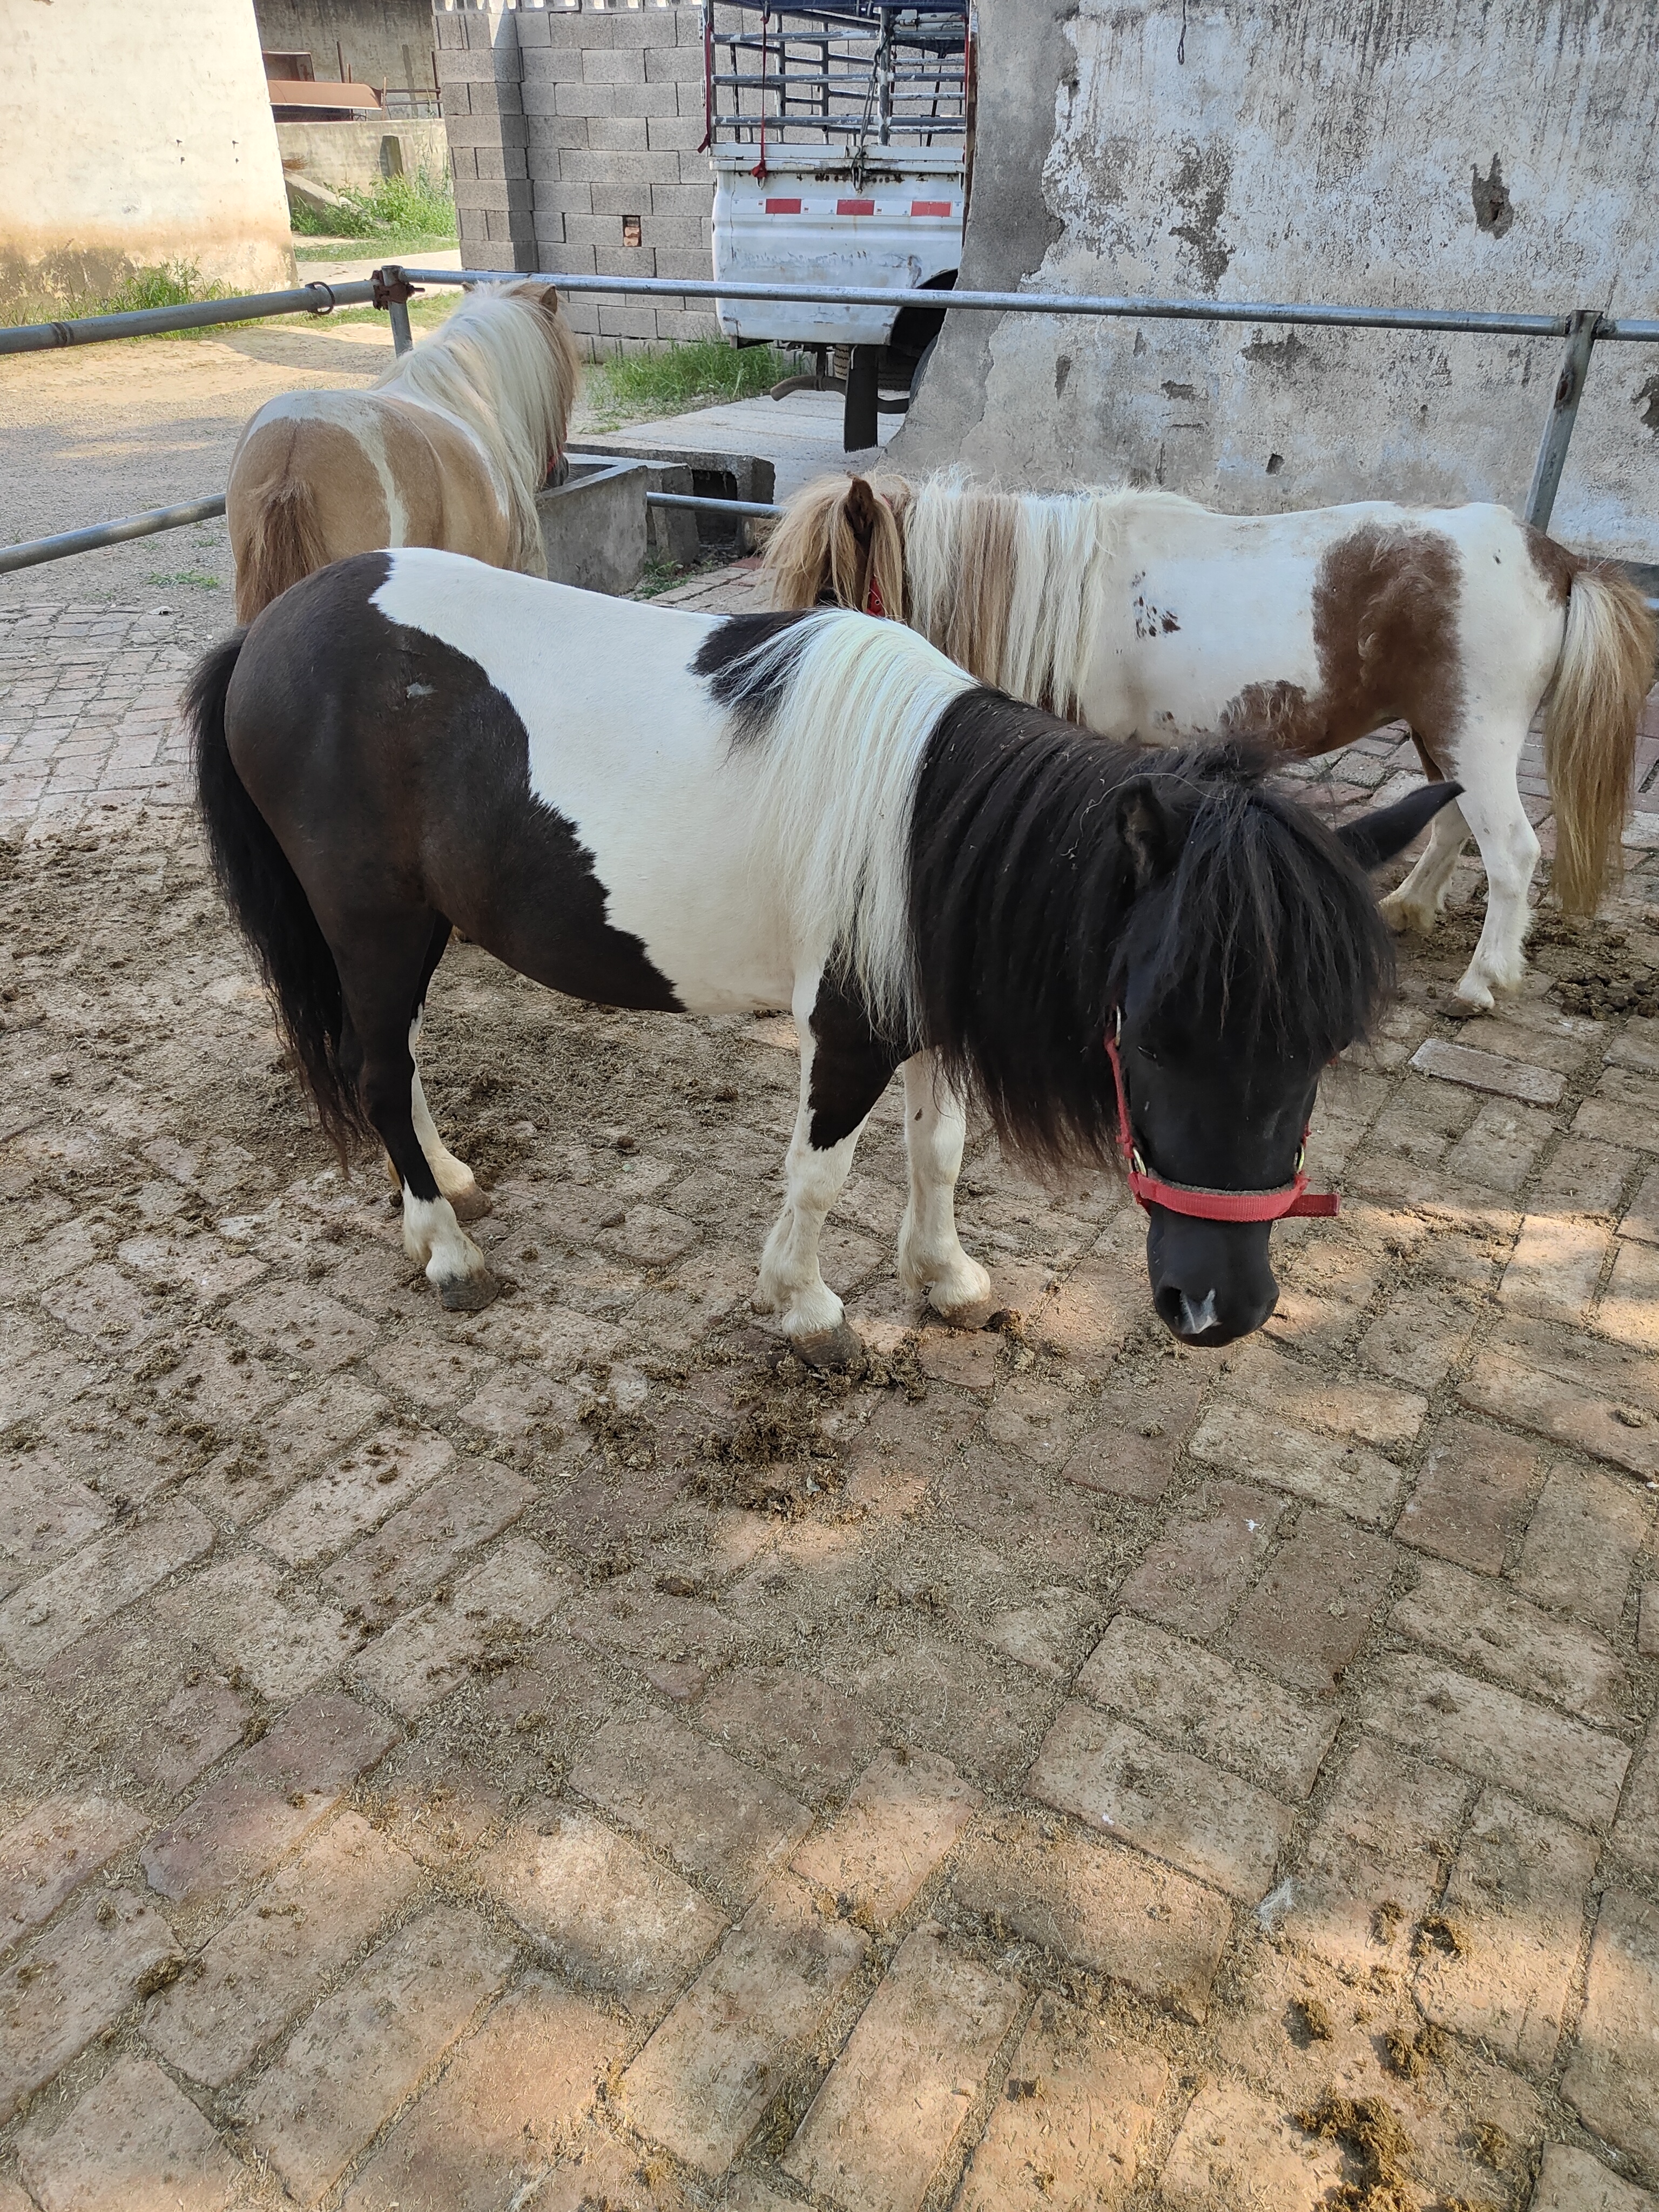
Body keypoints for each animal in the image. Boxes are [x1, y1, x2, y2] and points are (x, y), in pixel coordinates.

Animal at [191, 553, 1451, 1345]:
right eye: (1147, 1034)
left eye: (1323, 1048)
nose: (1220, 1310)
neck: (923, 823)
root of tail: (266, 632)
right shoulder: (849, 1031)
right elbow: (822, 1170)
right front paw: (802, 1306)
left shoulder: (930, 1006)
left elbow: (938, 1151)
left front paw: (943, 1279)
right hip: (373, 923)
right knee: (373, 1072)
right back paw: (445, 1250)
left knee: (391, 1064)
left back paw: (442, 1187)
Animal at [765, 480, 1654, 1013]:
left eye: (829, 588)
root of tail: (1558, 562)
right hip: (1445, 736)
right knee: (1452, 822)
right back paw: (1409, 909)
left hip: (1475, 734)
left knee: (1512, 853)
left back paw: (1481, 981)